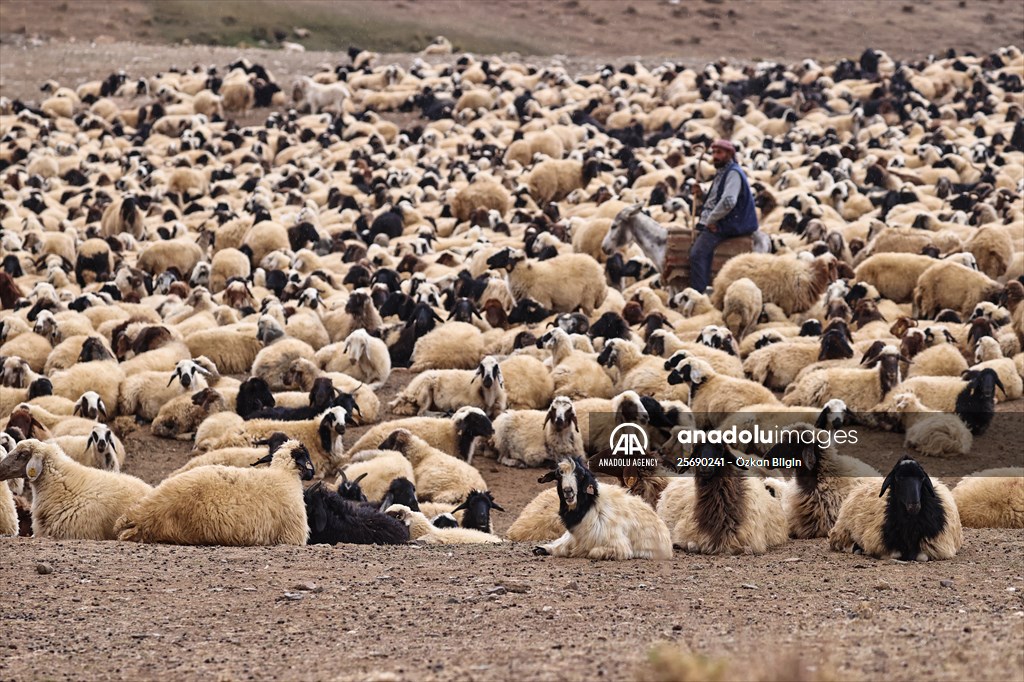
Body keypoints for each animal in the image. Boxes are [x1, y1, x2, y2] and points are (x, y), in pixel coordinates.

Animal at [532, 456, 675, 557]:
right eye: (558, 475)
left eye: (581, 475)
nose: (568, 491)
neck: (590, 506)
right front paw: (543, 548)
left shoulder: (618, 546)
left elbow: (592, 552)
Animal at [827, 454, 962, 561]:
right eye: (898, 477)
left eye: (922, 477)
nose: (914, 505)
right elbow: (895, 554)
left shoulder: (938, 546)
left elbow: (921, 556)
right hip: (843, 530)